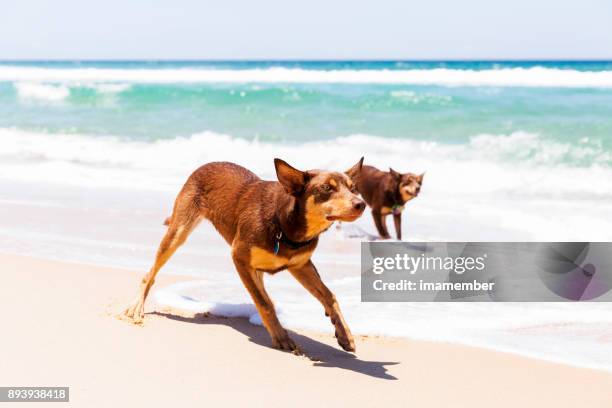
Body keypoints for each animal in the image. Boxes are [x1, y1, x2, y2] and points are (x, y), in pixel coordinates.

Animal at [122, 158, 366, 352]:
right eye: (326, 188)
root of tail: (207, 164)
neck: (286, 226)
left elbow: (329, 296)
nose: (361, 204)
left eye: (354, 188)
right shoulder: (239, 257)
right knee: (151, 273)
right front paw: (280, 336)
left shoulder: (301, 265)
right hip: (178, 233)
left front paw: (344, 334)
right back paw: (137, 306)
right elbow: (265, 303)